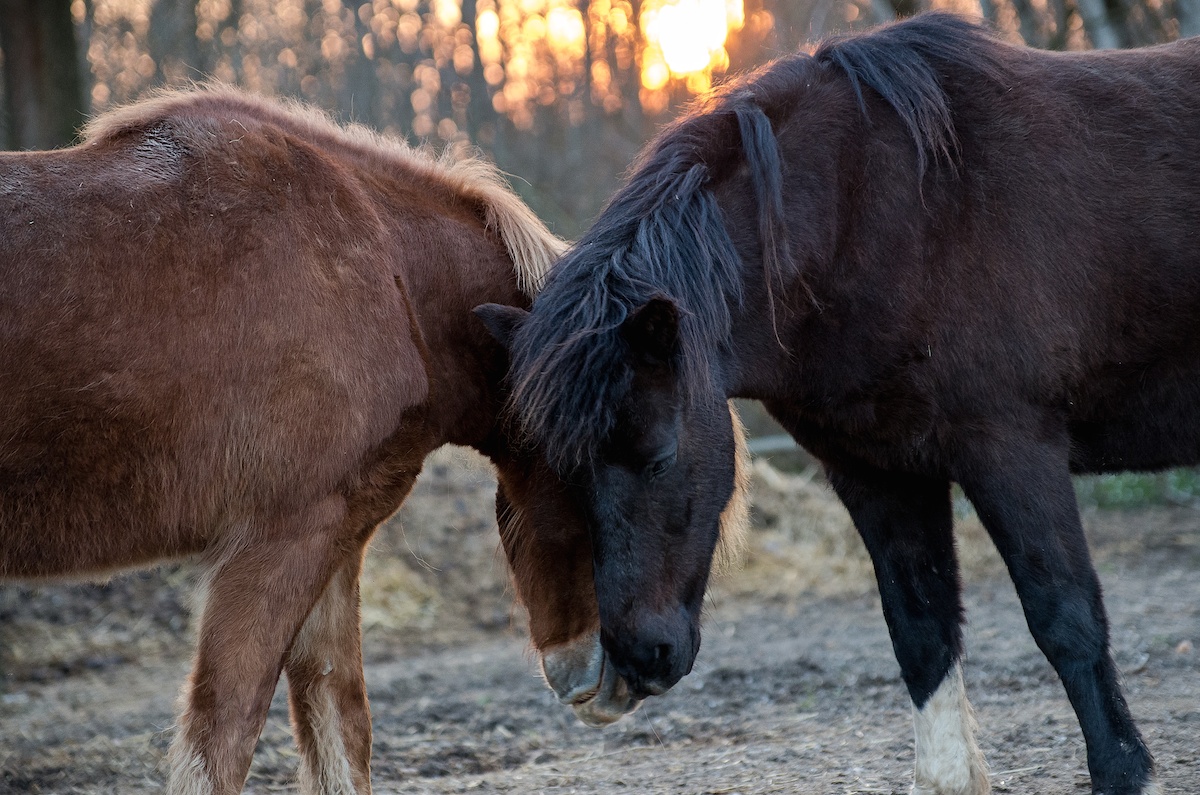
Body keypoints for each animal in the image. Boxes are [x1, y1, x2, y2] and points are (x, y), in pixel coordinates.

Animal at [0, 87, 748, 795]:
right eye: (656, 458)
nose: (646, 662)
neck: (387, 276)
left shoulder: (334, 545)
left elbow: (341, 727)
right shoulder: (275, 545)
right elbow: (223, 741)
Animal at [482, 12, 1195, 795]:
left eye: (661, 455)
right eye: (565, 474)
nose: (638, 659)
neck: (883, 217)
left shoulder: (1012, 450)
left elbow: (1065, 615)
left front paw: (1125, 771)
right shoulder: (876, 471)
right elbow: (920, 628)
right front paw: (946, 777)